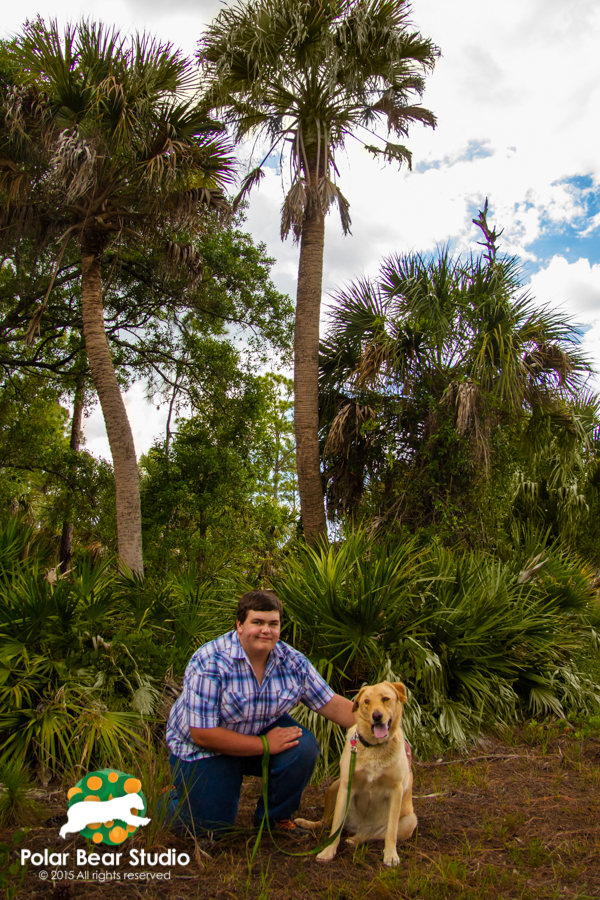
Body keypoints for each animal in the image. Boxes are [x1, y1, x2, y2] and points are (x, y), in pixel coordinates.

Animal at [296, 684, 418, 864]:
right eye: (366, 701)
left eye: (385, 699)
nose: (376, 716)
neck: (374, 747)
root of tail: (359, 827)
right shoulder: (346, 786)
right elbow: (336, 827)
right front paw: (328, 851)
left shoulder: (396, 790)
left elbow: (391, 831)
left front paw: (390, 855)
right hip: (334, 787)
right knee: (326, 822)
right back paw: (307, 823)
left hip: (410, 820)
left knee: (374, 834)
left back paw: (356, 839)